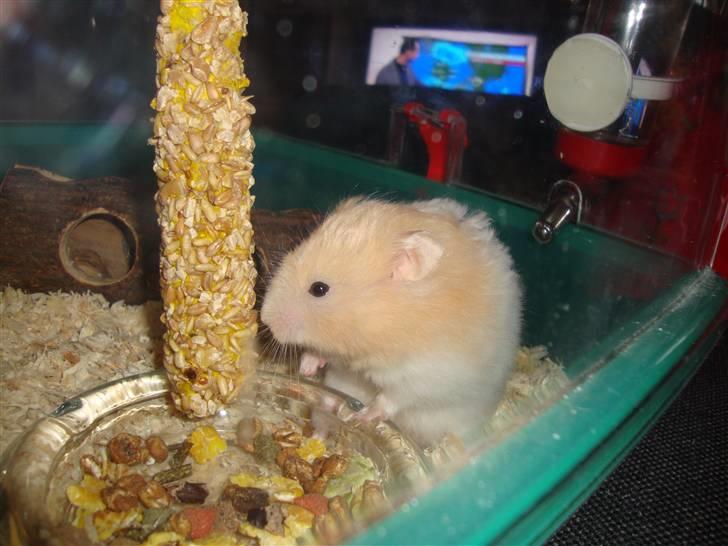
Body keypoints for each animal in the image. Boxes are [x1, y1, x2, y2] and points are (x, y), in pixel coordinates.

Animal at [260, 197, 522, 446]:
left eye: (319, 289)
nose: (265, 318)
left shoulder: (423, 375)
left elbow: (391, 398)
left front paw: (363, 416)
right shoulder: (343, 358)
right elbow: (321, 353)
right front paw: (306, 368)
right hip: (339, 382)